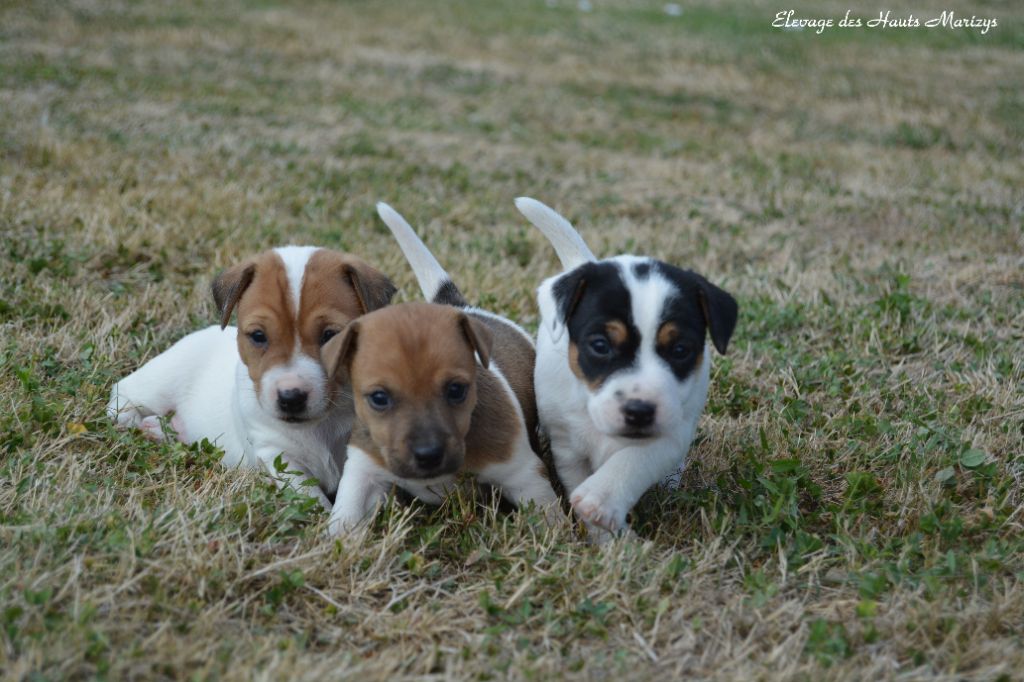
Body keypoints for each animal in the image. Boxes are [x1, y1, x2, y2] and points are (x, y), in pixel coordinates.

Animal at [107, 244, 395, 503]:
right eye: (258, 336)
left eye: (330, 335)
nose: (291, 397)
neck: (319, 425)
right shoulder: (277, 456)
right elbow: (311, 498)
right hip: (158, 384)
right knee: (122, 394)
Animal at [321, 202, 557, 532]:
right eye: (378, 398)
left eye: (456, 390)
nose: (428, 454)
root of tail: (461, 307)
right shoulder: (363, 470)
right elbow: (346, 516)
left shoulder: (525, 476)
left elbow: (549, 520)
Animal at [516, 197, 741, 540]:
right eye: (600, 345)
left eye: (680, 350)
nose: (639, 411)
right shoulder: (567, 448)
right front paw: (608, 539)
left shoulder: (671, 431)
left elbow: (636, 459)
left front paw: (601, 500)